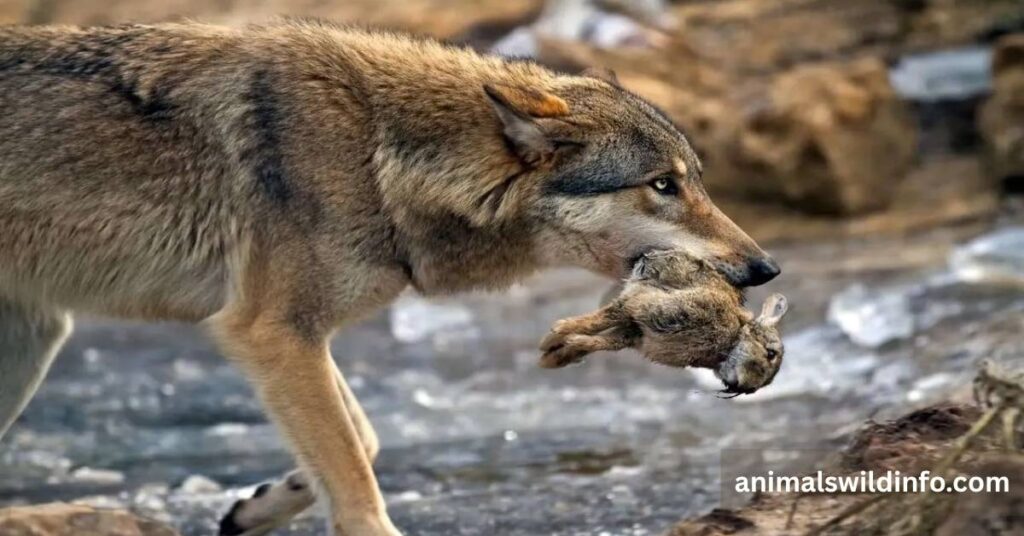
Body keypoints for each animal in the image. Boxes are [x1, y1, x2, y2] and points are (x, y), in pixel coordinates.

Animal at [0, 20, 779, 535]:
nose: (765, 268)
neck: (379, 153)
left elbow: (362, 440)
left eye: (696, 180)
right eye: (662, 185)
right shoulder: (270, 331)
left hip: (37, 335)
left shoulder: (295, 338)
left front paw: (261, 503)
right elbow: (358, 488)